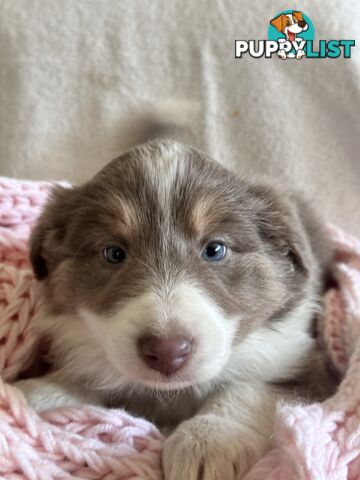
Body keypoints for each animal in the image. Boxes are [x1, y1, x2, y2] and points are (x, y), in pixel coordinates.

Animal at [16, 137, 332, 478]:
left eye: (215, 249)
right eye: (114, 253)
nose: (168, 351)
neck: (170, 394)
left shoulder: (307, 373)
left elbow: (247, 388)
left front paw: (208, 438)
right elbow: (92, 375)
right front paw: (40, 392)